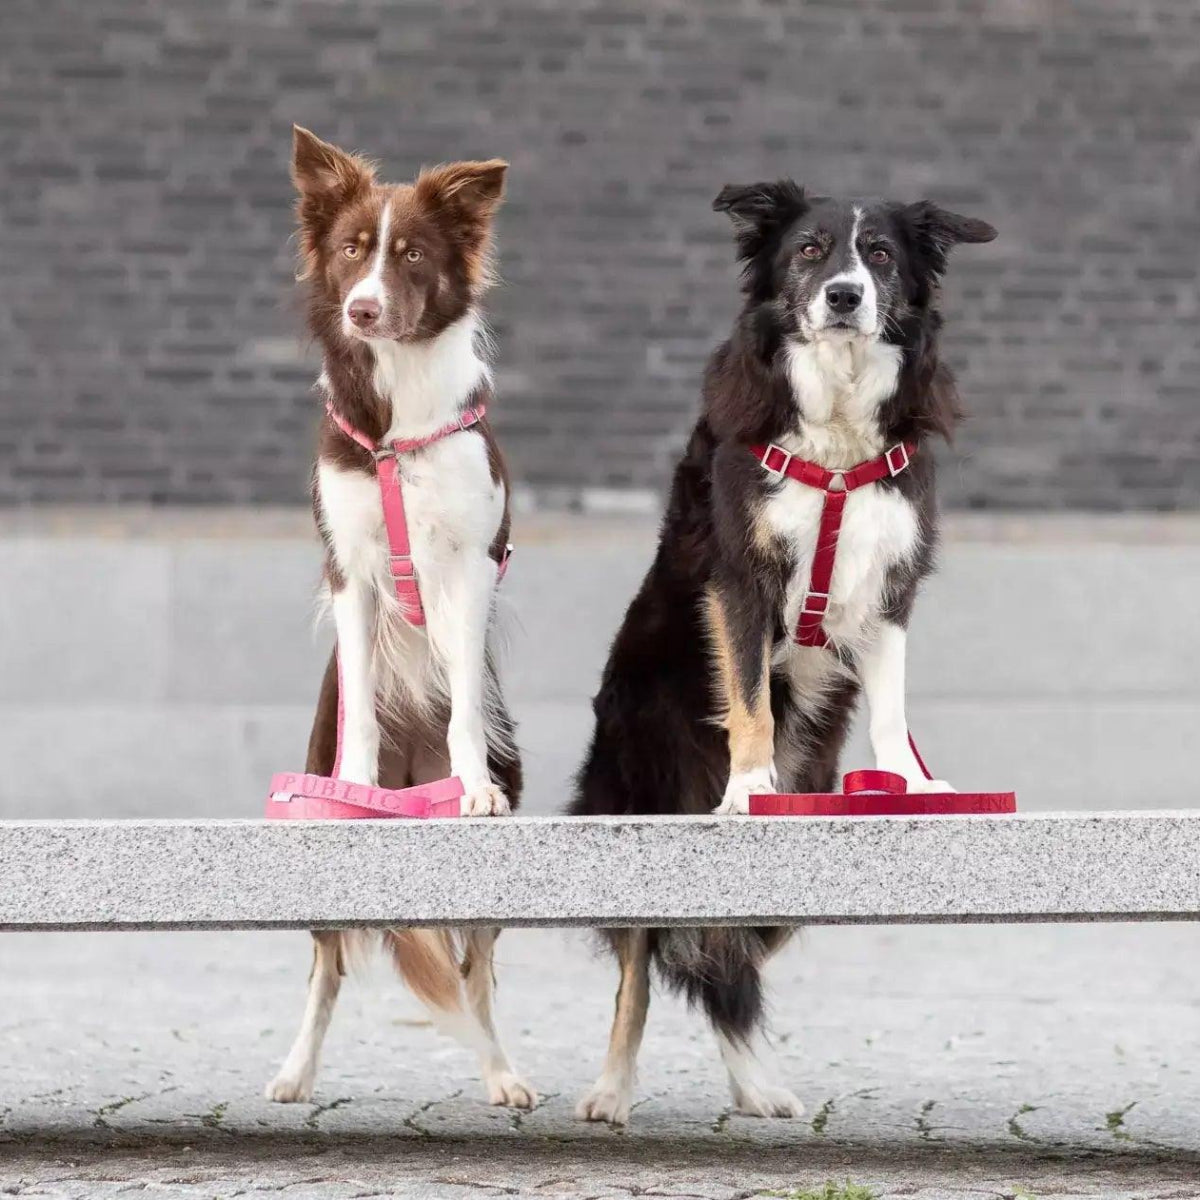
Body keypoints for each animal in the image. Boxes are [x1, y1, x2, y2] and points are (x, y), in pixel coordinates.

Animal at [270, 126, 537, 1108]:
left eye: (413, 254)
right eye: (352, 249)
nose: (363, 310)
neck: (394, 428)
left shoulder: (468, 565)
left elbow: (458, 695)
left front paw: (470, 788)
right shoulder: (349, 568)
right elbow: (358, 709)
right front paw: (358, 786)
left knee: (476, 976)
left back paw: (503, 1074)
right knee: (326, 969)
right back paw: (295, 1071)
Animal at [571, 182, 993, 1118]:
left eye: (880, 254)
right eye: (808, 250)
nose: (843, 296)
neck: (834, 425)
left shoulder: (893, 585)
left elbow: (893, 710)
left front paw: (911, 785)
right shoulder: (739, 580)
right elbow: (750, 703)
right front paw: (748, 789)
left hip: (810, 814)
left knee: (728, 951)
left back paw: (756, 1084)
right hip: (639, 790)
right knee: (643, 965)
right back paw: (611, 1090)